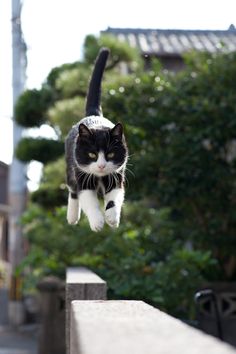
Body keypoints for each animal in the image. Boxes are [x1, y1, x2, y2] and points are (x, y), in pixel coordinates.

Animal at [64, 47, 128, 232]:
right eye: (92, 154)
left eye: (111, 154)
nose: (101, 166)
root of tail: (94, 114)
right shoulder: (82, 175)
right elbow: (87, 199)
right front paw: (97, 222)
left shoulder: (117, 174)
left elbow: (115, 196)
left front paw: (112, 218)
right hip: (70, 165)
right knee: (72, 190)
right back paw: (72, 217)